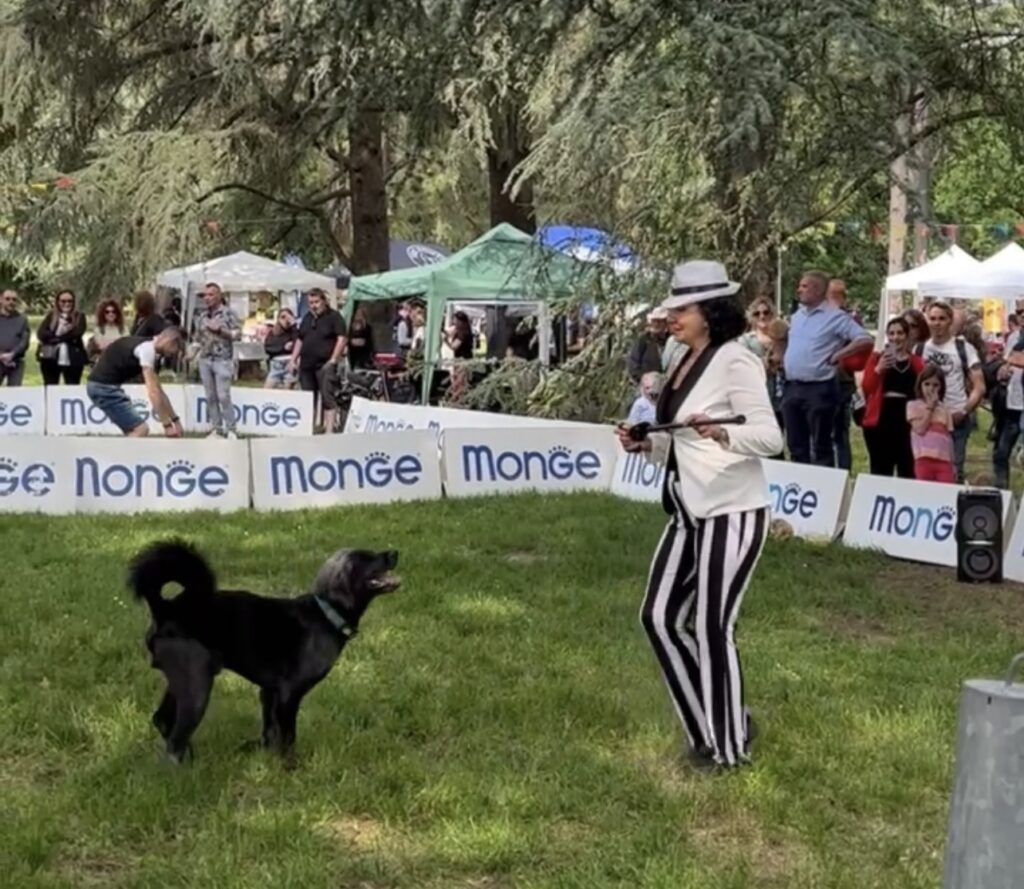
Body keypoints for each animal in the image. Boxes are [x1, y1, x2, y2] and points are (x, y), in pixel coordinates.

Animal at [128, 536, 399, 762]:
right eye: (364, 557)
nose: (395, 552)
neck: (326, 612)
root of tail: (165, 609)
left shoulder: (269, 691)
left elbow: (269, 731)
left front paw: (265, 758)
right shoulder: (290, 693)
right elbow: (288, 736)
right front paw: (290, 767)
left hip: (183, 680)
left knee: (162, 720)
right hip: (196, 685)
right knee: (174, 740)